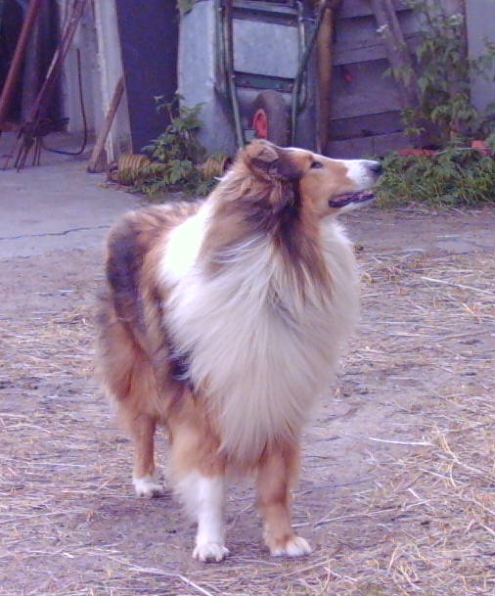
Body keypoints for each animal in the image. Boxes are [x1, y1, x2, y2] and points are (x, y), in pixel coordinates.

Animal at [98, 140, 384, 564]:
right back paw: (146, 480)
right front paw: (210, 542)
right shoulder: (205, 399)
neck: (275, 263)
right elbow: (209, 480)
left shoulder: (278, 389)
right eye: (313, 165)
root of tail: (138, 212)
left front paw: (283, 540)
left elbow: (275, 482)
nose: (378, 165)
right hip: (138, 366)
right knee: (142, 424)